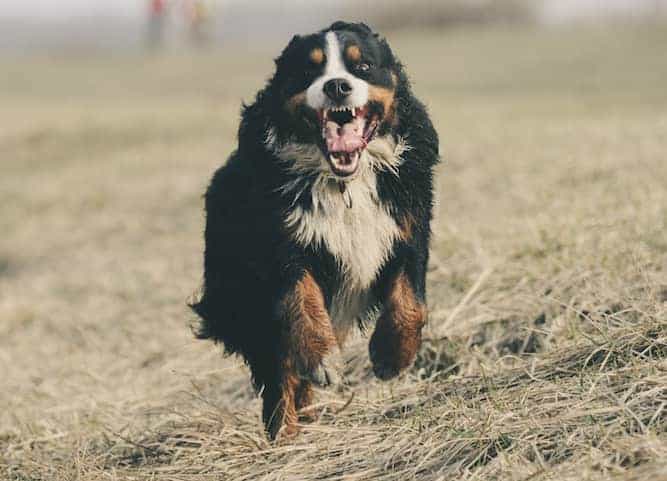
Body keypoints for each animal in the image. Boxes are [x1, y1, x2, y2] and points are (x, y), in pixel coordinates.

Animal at [190, 21, 440, 438]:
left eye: (363, 66)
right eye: (309, 70)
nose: (337, 86)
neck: (345, 183)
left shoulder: (407, 228)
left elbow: (411, 302)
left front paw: (391, 356)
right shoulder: (281, 245)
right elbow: (301, 302)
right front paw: (322, 360)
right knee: (280, 372)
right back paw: (286, 432)